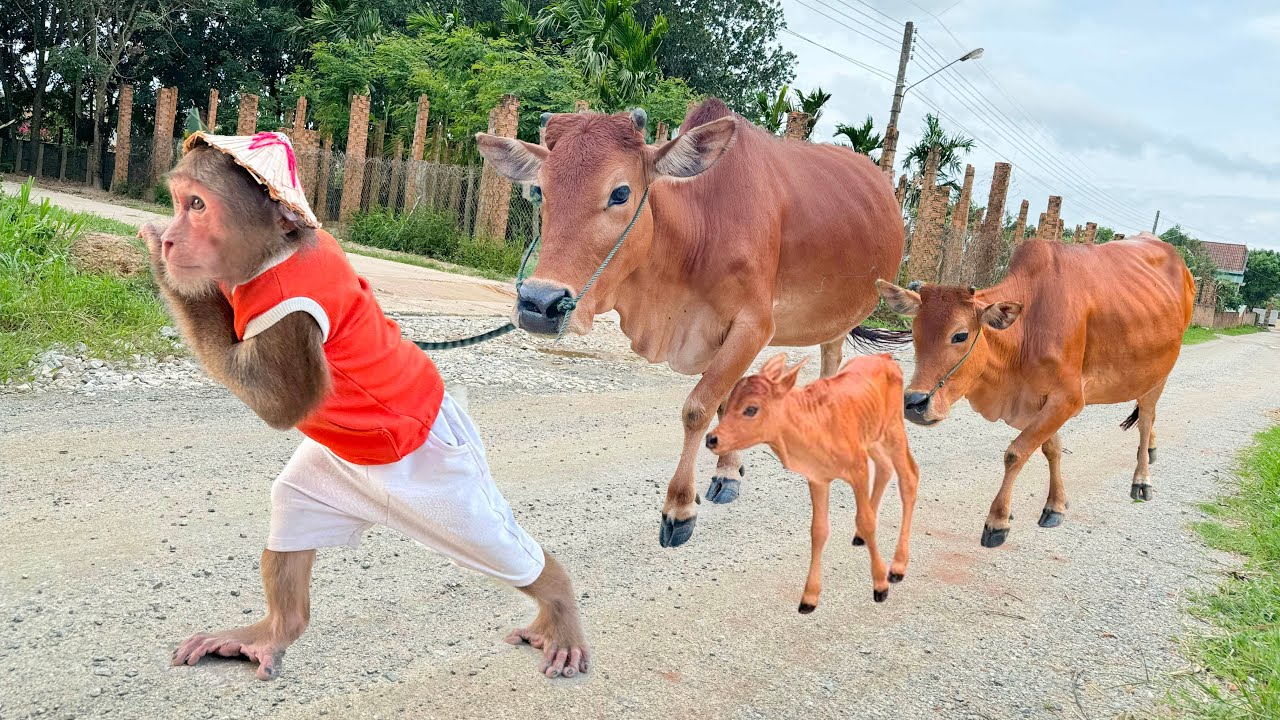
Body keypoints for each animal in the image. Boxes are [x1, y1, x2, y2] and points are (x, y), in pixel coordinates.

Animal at [476, 98, 906, 548]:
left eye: (621, 193)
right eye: (539, 190)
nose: (538, 304)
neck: (700, 226)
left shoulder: (754, 325)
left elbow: (698, 408)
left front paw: (679, 508)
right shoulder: (710, 336)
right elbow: (724, 401)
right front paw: (729, 472)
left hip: (840, 315)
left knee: (831, 363)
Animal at [705, 353, 920, 611]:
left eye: (751, 409)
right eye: (728, 404)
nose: (711, 439)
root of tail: (885, 357)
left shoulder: (858, 469)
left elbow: (866, 520)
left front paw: (880, 585)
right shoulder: (817, 478)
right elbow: (818, 530)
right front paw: (809, 597)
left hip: (893, 429)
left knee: (909, 477)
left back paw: (898, 566)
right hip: (872, 436)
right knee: (885, 468)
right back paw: (860, 538)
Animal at [875, 233, 1195, 548]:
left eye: (960, 335)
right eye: (914, 333)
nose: (914, 402)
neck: (1027, 329)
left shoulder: (1067, 399)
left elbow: (1016, 453)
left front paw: (998, 521)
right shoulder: (1035, 402)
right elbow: (1051, 448)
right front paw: (1055, 506)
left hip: (1158, 374)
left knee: (1146, 420)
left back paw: (1142, 480)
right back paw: (1151, 451)